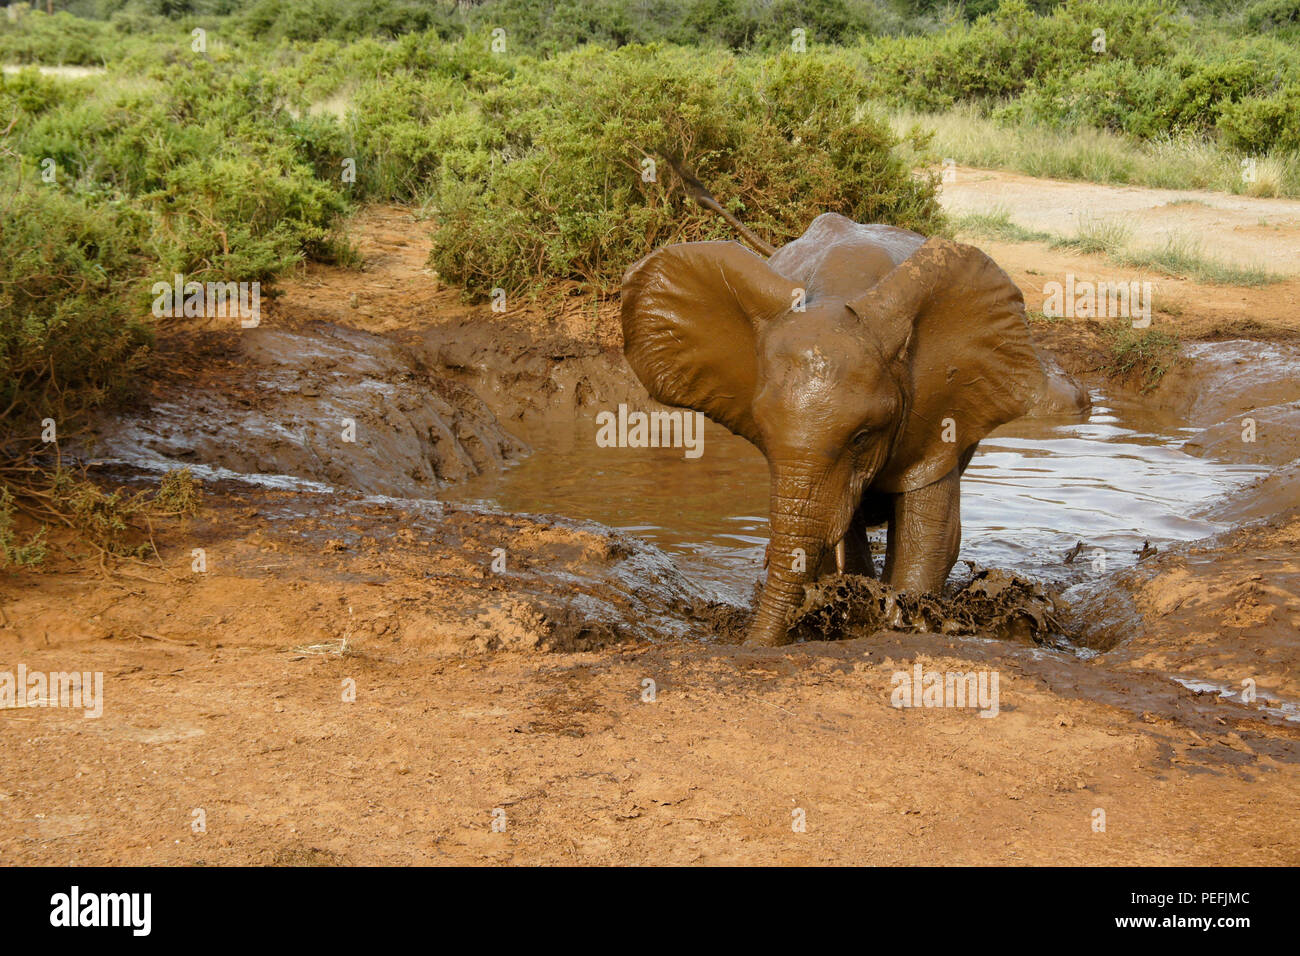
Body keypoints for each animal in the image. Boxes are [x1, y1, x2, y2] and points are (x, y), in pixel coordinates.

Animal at [621, 212, 1046, 647]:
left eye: (862, 437)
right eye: (762, 432)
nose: (748, 646)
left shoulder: (937, 411)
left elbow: (931, 537)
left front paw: (903, 619)